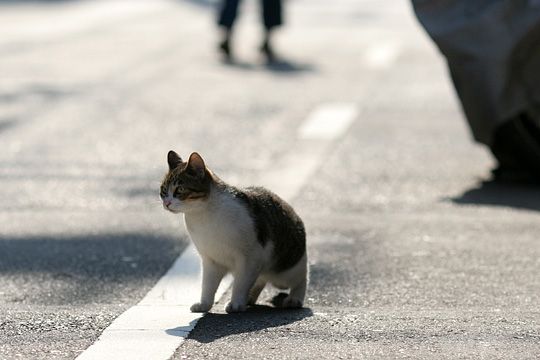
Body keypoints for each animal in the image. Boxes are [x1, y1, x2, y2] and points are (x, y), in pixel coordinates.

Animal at [159, 150, 308, 314]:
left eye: (179, 190)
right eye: (163, 191)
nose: (167, 203)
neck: (202, 216)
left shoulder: (250, 257)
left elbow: (240, 284)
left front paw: (236, 303)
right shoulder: (211, 260)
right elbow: (207, 286)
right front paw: (204, 304)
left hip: (284, 271)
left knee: (301, 278)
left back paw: (294, 298)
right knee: (259, 279)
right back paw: (250, 297)